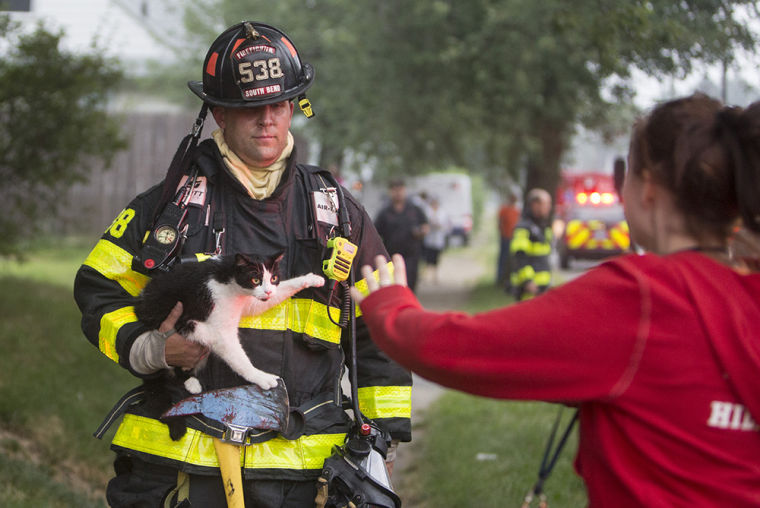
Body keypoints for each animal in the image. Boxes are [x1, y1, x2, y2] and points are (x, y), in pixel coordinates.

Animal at [134, 253, 324, 392]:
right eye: (255, 280)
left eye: (274, 278)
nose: (268, 292)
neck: (230, 279)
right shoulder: (219, 325)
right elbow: (237, 356)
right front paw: (260, 376)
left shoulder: (251, 300)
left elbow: (273, 296)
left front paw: (312, 279)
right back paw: (191, 382)